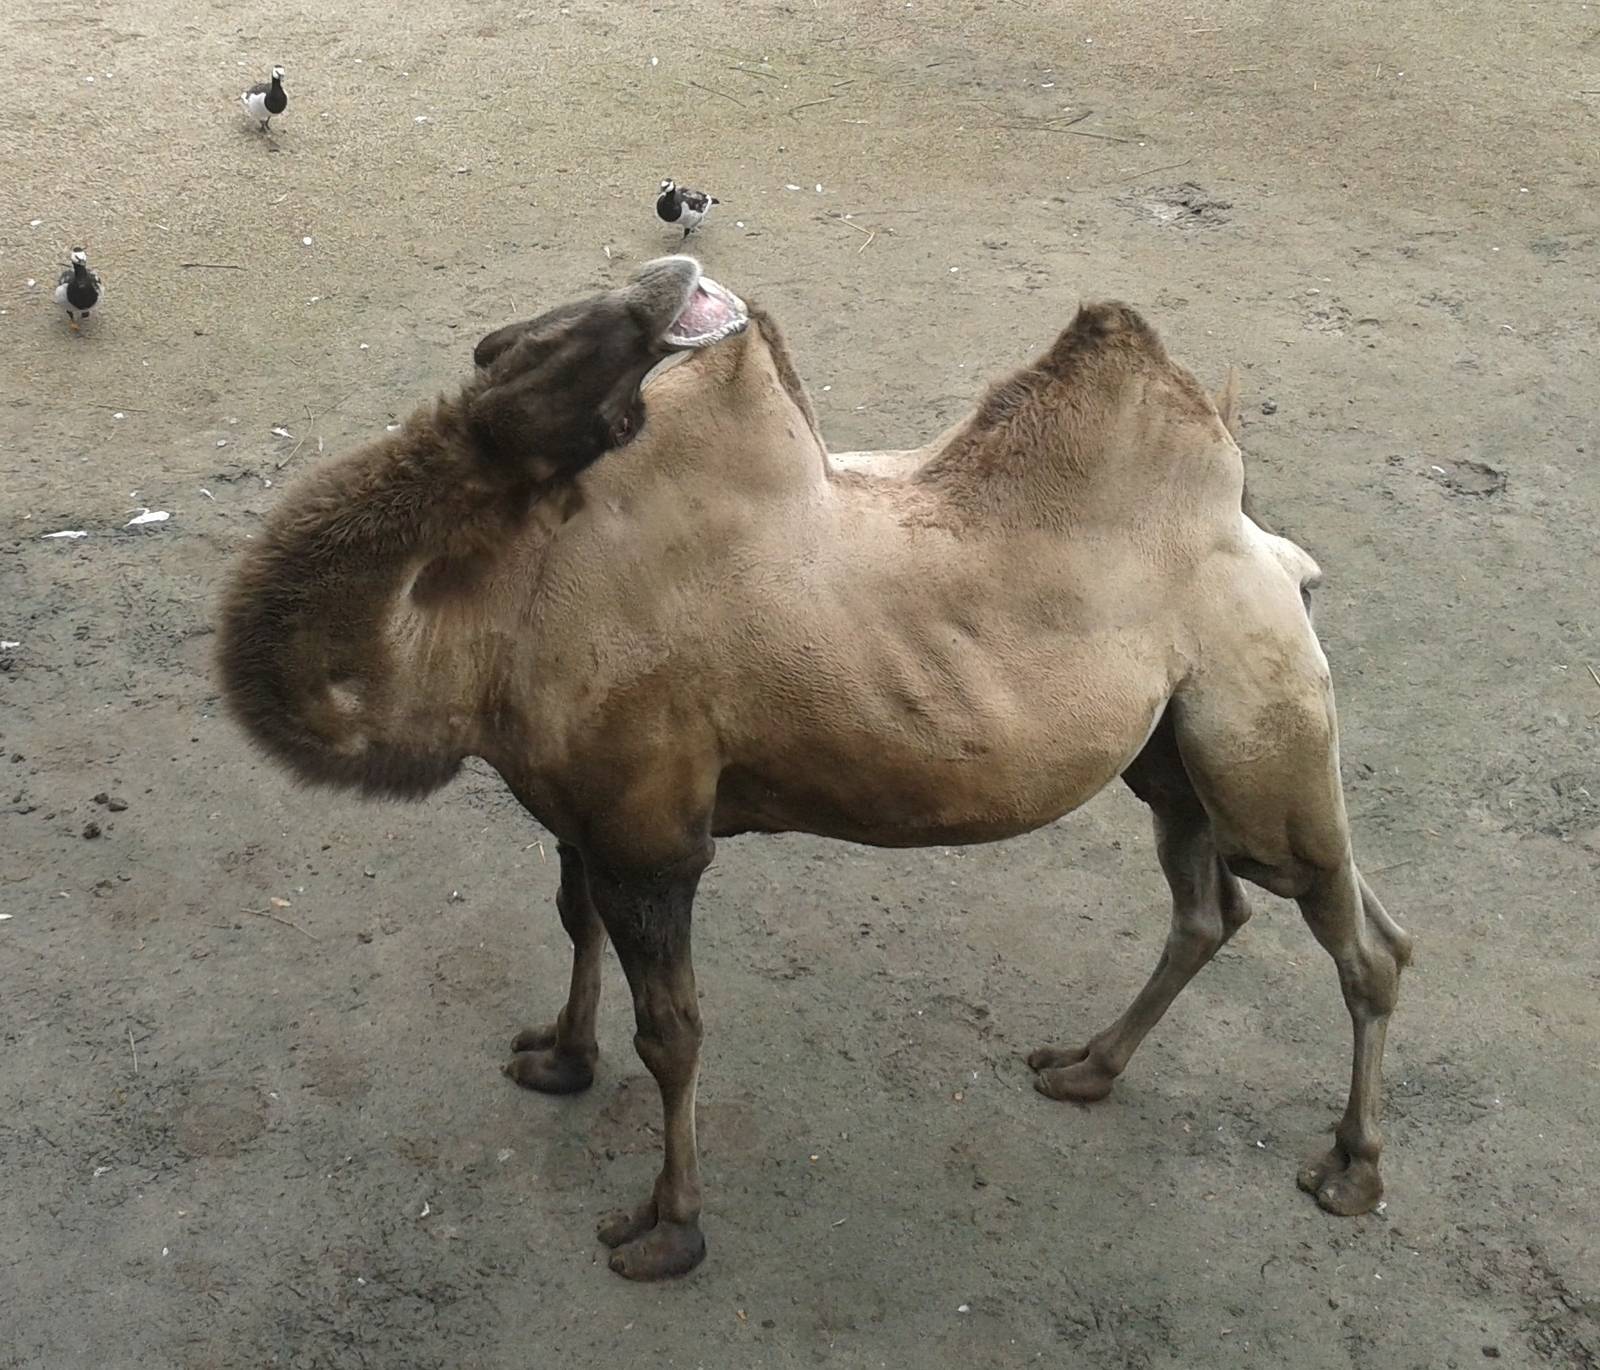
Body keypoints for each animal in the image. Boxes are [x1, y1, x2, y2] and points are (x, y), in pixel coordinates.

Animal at [218, 255, 1412, 1282]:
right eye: (531, 341)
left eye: (600, 361)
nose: (669, 272)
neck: (489, 626)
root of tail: (1269, 550)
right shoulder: (582, 810)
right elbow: (574, 922)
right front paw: (558, 1057)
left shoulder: (654, 830)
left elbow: (674, 1034)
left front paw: (666, 1229)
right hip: (1172, 750)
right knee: (1213, 905)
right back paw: (1085, 1067)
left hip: (1258, 712)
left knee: (1356, 936)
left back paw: (1349, 1169)